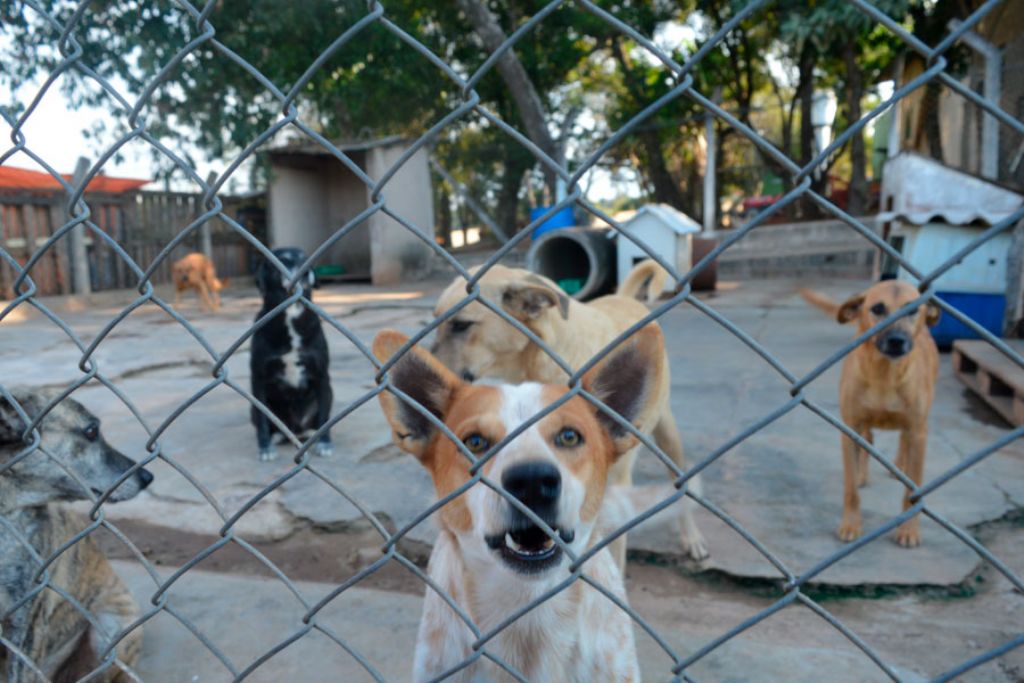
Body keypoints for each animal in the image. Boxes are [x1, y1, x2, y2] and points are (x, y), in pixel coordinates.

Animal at [249, 248, 333, 462]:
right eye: (283, 259)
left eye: (306, 258)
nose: (305, 272)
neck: (291, 315)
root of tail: (296, 431)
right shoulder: (258, 378)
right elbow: (262, 421)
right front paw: (265, 447)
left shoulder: (322, 376)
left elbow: (324, 417)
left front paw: (324, 443)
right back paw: (277, 437)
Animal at [802, 280, 937, 548]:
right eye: (877, 308)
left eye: (912, 309)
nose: (896, 341)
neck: (884, 375)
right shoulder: (850, 428)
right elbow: (850, 489)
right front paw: (851, 525)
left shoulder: (919, 431)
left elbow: (912, 488)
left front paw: (909, 528)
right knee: (869, 441)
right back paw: (864, 474)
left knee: (902, 440)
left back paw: (899, 467)